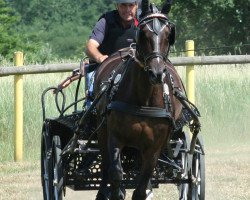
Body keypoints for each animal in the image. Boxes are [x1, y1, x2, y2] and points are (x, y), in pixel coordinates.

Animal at [93, 1, 183, 200]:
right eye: (143, 33)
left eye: (169, 35)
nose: (156, 73)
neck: (144, 99)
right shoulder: (115, 136)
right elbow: (116, 173)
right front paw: (117, 191)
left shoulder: (154, 147)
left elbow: (142, 185)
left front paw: (144, 190)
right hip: (102, 131)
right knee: (105, 167)